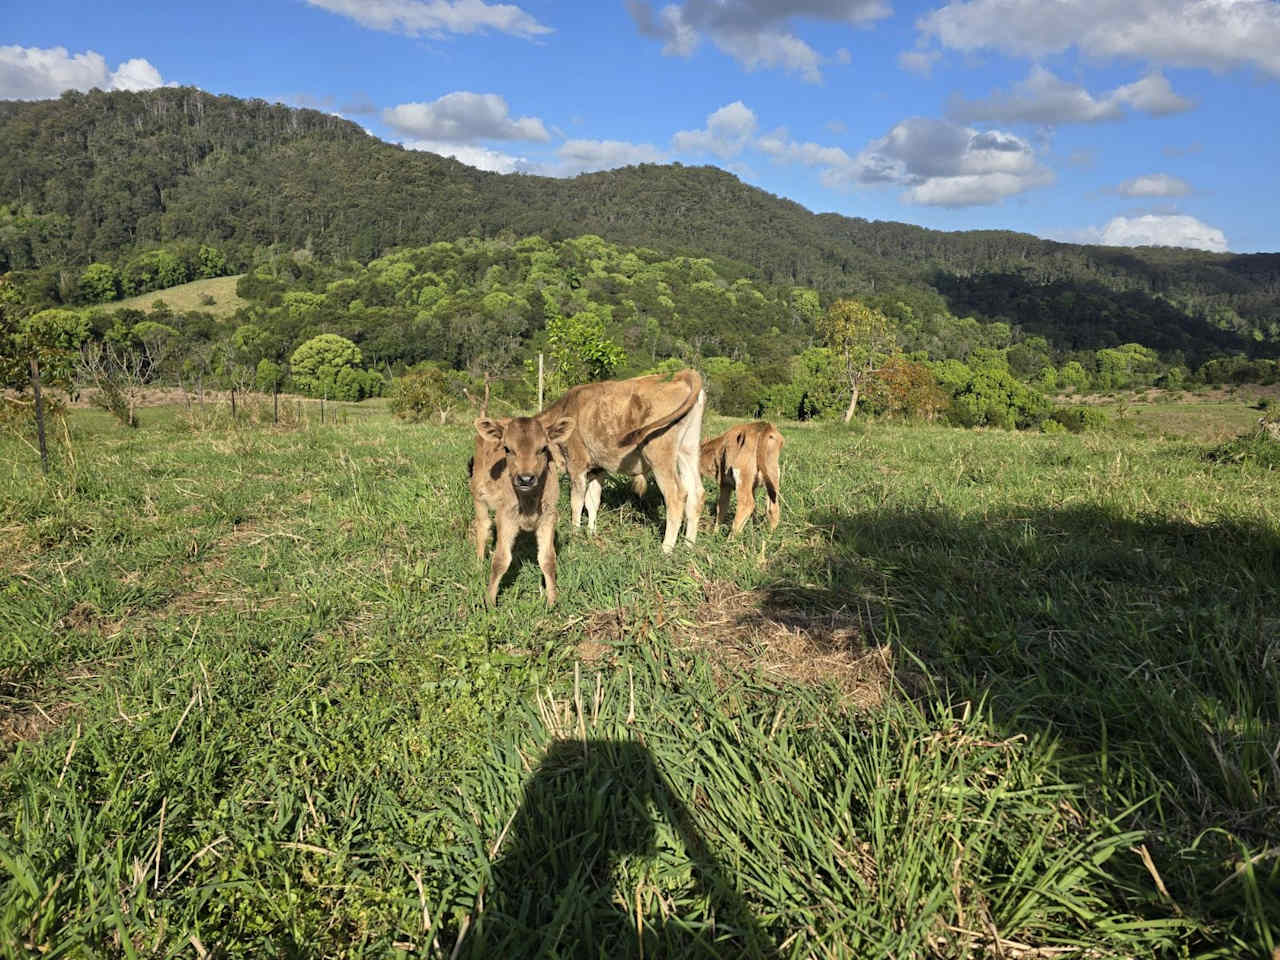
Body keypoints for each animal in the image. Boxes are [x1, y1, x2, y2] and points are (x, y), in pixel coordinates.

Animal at [471, 414, 576, 609]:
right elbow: (501, 560)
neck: (529, 504)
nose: (525, 479)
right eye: (507, 448)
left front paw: (552, 601)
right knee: (483, 525)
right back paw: (479, 563)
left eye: (543, 448)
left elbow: (547, 559)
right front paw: (490, 602)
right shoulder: (505, 516)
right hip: (478, 494)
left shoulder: (549, 516)